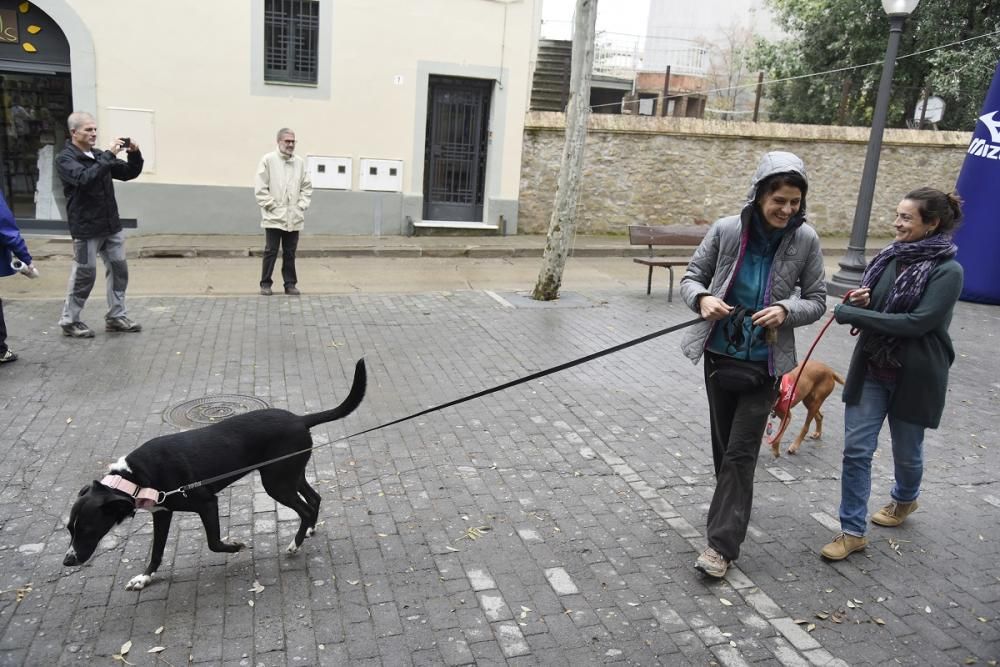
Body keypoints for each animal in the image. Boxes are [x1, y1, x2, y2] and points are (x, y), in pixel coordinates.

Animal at [63, 360, 368, 588]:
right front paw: (145, 577)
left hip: (276, 483)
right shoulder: (162, 515)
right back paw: (309, 531)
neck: (135, 477)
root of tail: (300, 419)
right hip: (289, 474)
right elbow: (157, 551)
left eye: (87, 529)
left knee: (304, 509)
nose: (68, 561)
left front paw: (235, 546)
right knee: (314, 500)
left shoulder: (207, 503)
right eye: (69, 529)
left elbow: (213, 542)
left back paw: (295, 544)